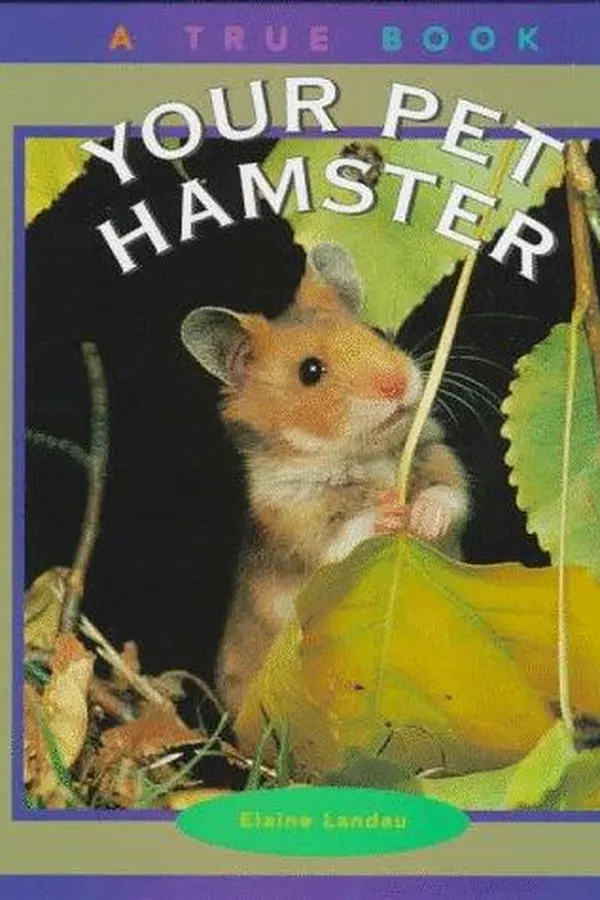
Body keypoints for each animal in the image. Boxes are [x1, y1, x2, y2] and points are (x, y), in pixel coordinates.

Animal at [181, 243, 470, 716]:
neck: (361, 454)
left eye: (376, 334)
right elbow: (341, 541)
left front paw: (422, 517)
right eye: (310, 371)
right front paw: (389, 513)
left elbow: (451, 492)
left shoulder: (434, 451)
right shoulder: (298, 521)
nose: (397, 384)